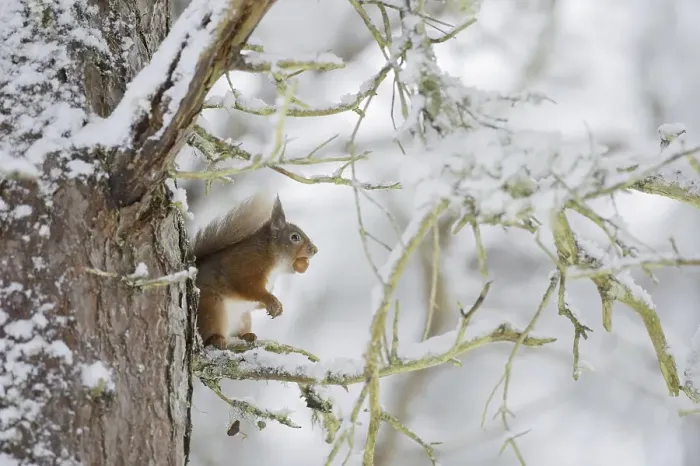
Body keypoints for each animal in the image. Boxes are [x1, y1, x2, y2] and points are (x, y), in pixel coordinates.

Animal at [190, 194, 318, 350]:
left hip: (244, 318)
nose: (315, 250)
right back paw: (216, 339)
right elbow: (249, 288)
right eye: (295, 237)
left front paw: (278, 307)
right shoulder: (246, 266)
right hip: (212, 309)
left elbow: (257, 303)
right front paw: (271, 300)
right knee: (207, 335)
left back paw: (247, 336)